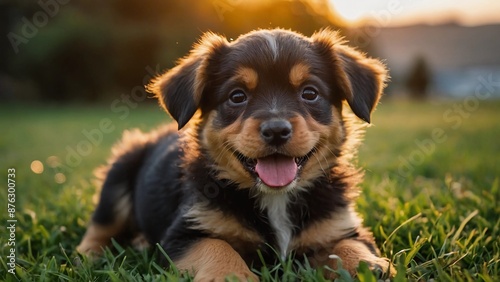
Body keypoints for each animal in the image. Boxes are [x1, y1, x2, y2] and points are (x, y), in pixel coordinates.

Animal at [77, 28, 394, 280]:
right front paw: (229, 275)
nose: (276, 130)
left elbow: (349, 245)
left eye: (310, 93)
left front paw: (371, 265)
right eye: (237, 96)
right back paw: (90, 255)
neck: (275, 199)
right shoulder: (184, 233)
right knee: (100, 225)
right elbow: (217, 247)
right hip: (119, 171)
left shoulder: (338, 226)